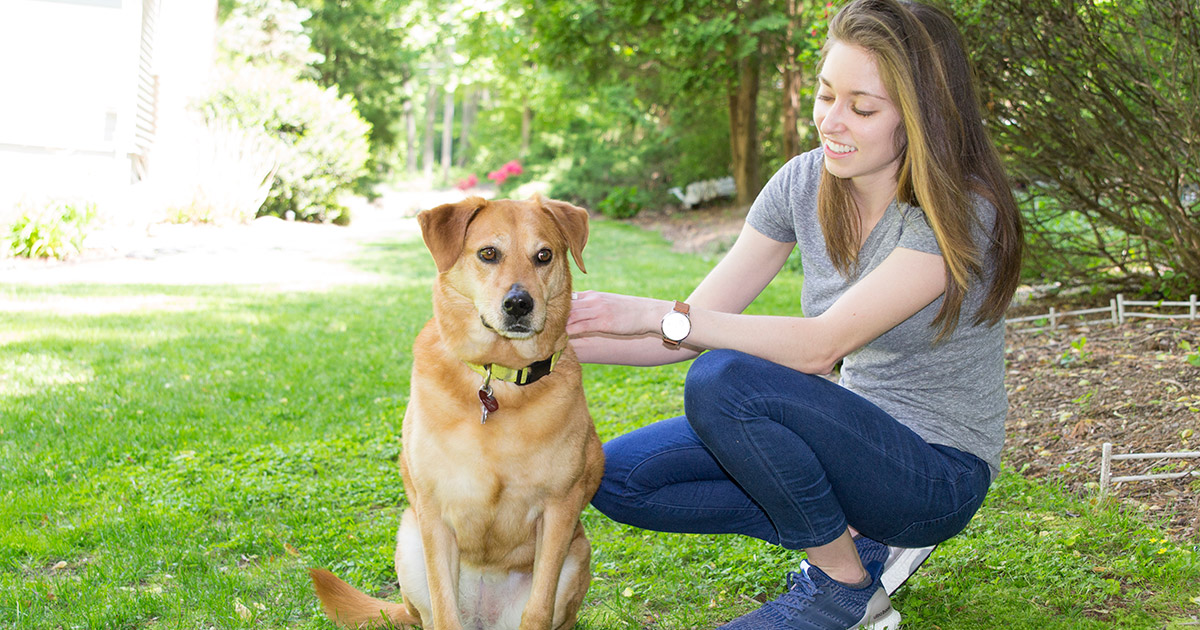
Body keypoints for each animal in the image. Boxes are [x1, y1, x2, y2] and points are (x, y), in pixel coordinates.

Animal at [312, 194, 609, 624]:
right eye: (488, 253)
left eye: (544, 255)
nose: (519, 303)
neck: (497, 377)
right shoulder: (434, 513)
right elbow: (444, 609)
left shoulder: (559, 510)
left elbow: (537, 610)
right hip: (409, 541)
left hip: (577, 552)